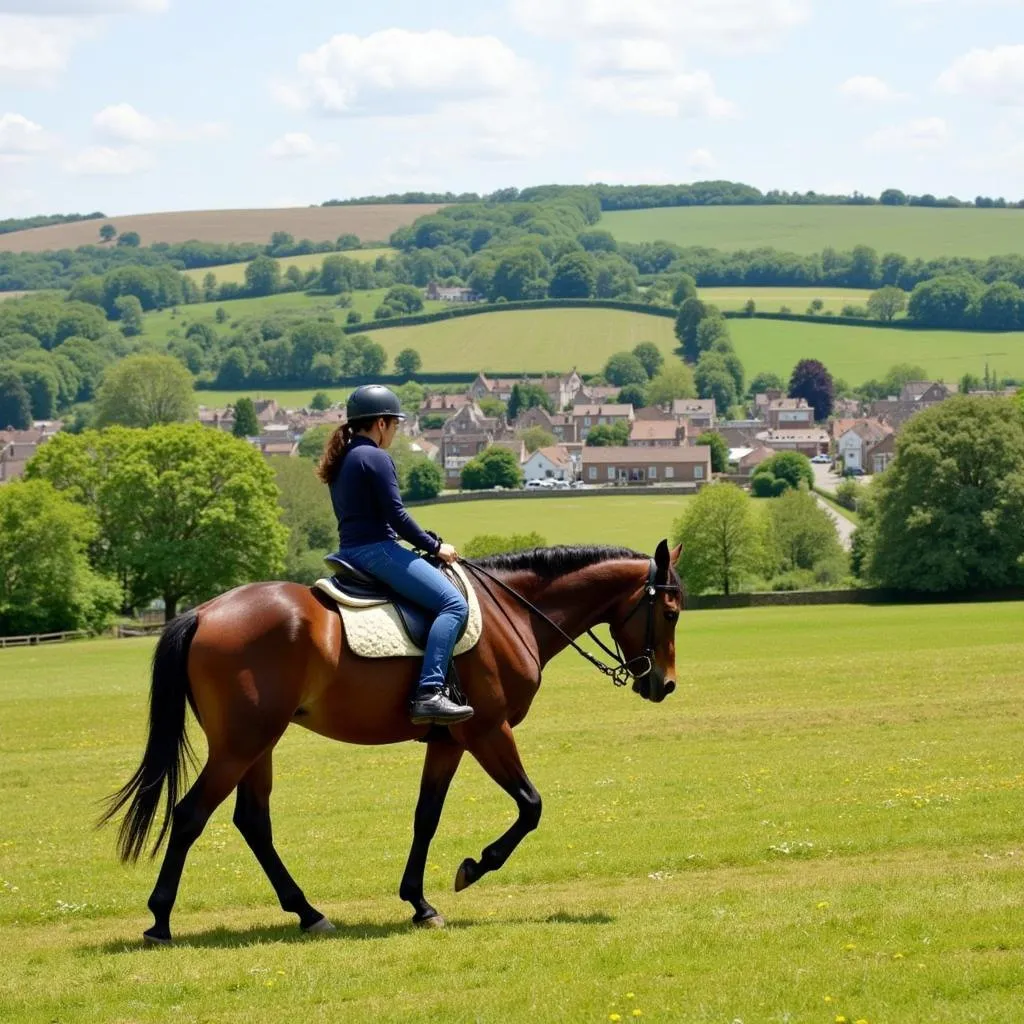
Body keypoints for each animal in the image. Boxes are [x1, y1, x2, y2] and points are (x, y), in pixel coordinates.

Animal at [103, 540, 684, 946]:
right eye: (671, 612)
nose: (665, 684)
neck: (512, 612)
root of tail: (203, 612)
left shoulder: (449, 740)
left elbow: (426, 817)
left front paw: (419, 903)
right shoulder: (488, 731)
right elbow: (530, 806)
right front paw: (474, 867)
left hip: (258, 746)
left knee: (252, 822)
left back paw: (308, 912)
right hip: (241, 745)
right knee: (190, 815)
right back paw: (160, 920)